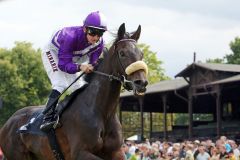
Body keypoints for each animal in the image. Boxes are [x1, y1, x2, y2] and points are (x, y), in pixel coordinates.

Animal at [0, 22, 148, 160]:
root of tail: (8, 122)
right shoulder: (80, 153)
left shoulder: (116, 152)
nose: (141, 83)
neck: (102, 112)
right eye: (122, 53)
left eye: (141, 54)